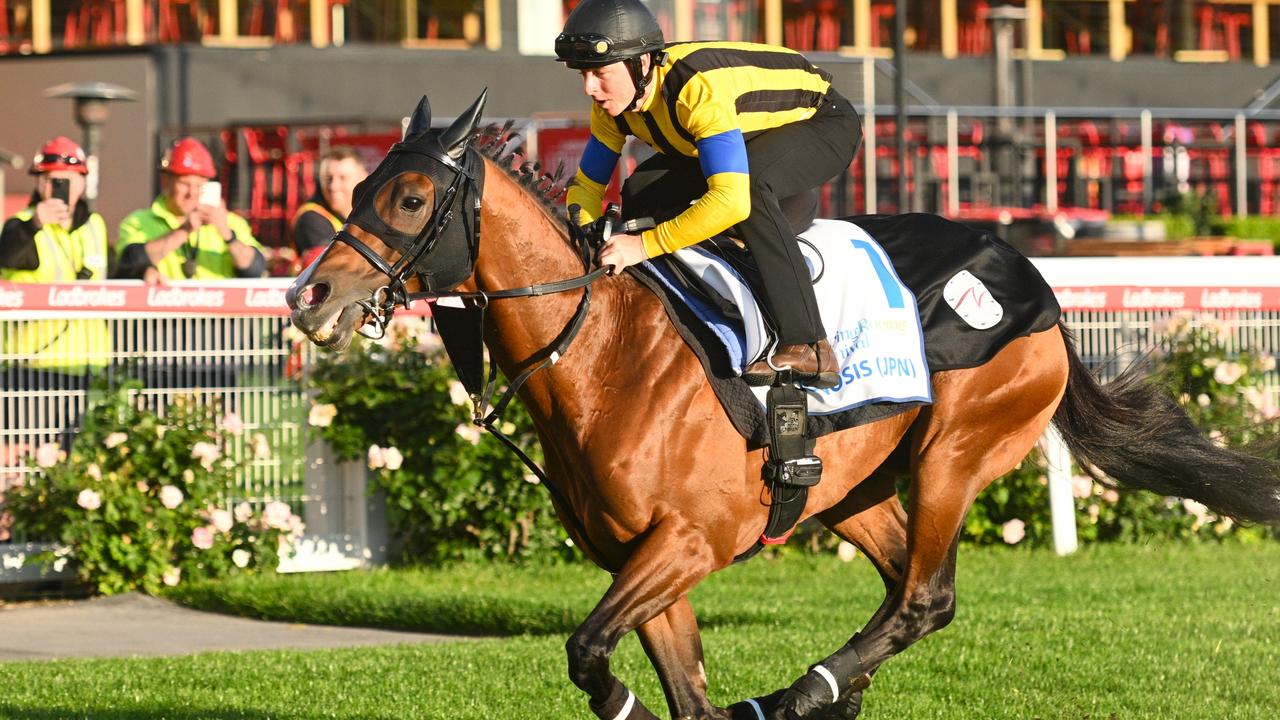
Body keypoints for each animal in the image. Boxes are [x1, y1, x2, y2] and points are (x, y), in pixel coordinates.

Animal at [288, 90, 1280, 717]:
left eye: (411, 196)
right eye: (359, 188)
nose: (308, 294)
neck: (608, 355)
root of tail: (1033, 280)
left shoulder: (689, 543)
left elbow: (589, 653)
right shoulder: (644, 559)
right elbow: (676, 691)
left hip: (956, 452)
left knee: (926, 599)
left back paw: (802, 694)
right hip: (850, 490)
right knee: (901, 589)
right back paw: (832, 694)